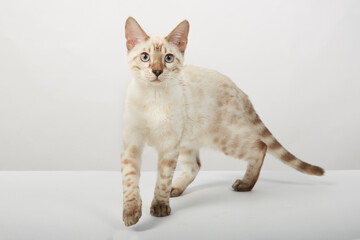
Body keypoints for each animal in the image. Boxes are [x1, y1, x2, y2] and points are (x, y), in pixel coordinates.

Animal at [120, 16, 324, 227]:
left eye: (168, 58)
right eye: (145, 57)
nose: (157, 71)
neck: (154, 98)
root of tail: (238, 88)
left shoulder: (169, 146)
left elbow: (162, 179)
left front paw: (160, 208)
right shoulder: (132, 143)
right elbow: (130, 180)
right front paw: (131, 213)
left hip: (222, 138)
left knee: (260, 146)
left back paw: (245, 184)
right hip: (188, 139)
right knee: (195, 165)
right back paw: (176, 189)